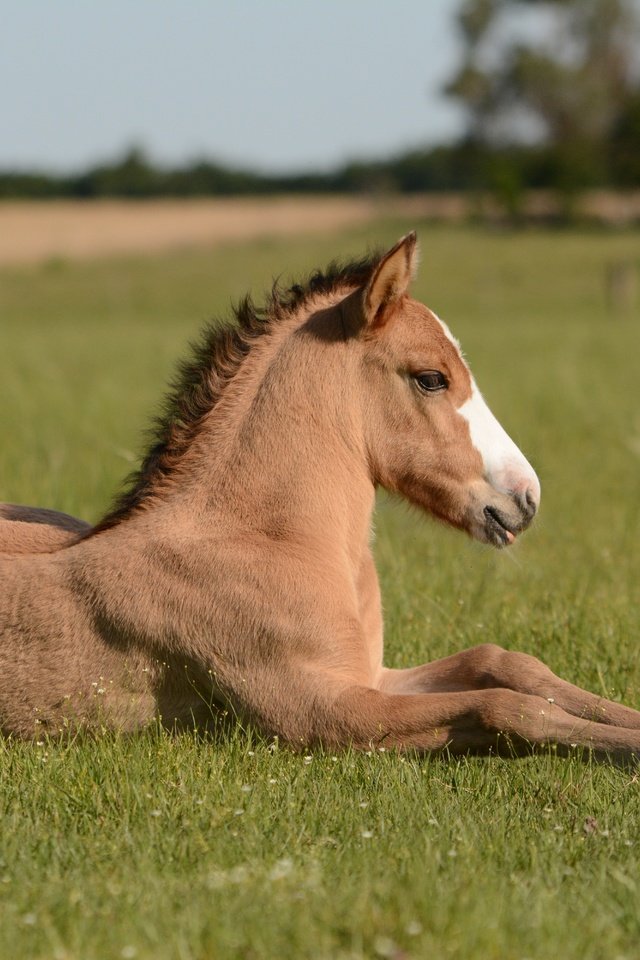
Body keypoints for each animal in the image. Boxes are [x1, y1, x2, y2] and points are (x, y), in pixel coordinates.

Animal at [1, 232, 640, 756]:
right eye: (431, 378)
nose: (526, 497)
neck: (267, 540)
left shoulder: (370, 675)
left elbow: (504, 663)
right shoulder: (320, 712)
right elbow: (506, 707)